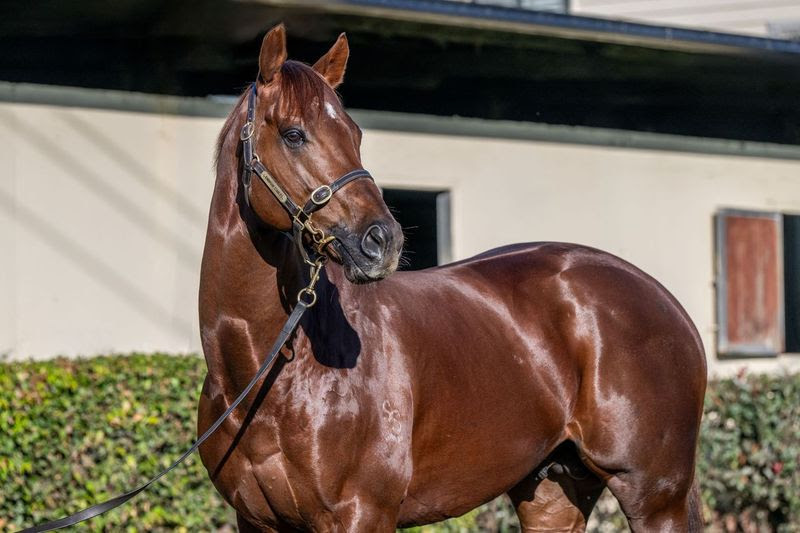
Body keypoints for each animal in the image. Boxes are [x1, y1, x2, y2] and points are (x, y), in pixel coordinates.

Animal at [198, 24, 707, 532]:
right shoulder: (256, 521)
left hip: (655, 499)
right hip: (553, 493)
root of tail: (666, 302)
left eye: (355, 133)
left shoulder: (361, 514)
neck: (270, 371)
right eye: (293, 134)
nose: (382, 240)